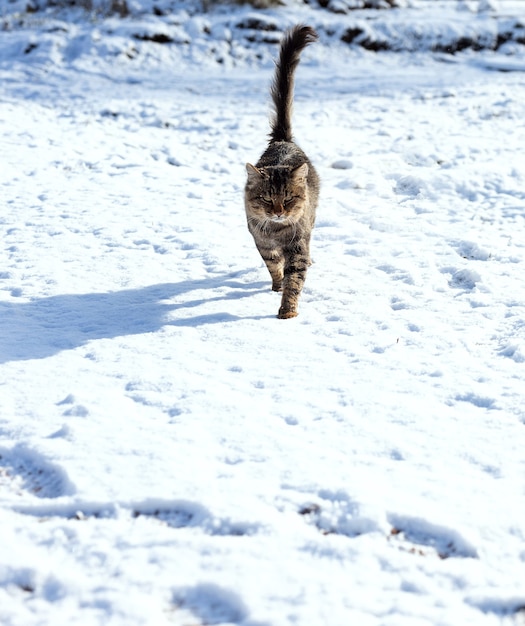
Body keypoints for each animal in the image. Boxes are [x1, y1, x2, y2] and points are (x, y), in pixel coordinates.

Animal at [243, 23, 320, 316]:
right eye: (267, 199)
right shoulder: (263, 244)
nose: (278, 212)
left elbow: (294, 279)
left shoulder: (297, 248)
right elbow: (274, 268)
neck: (276, 233)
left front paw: (287, 311)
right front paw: (276, 287)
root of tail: (282, 140)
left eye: (287, 199)